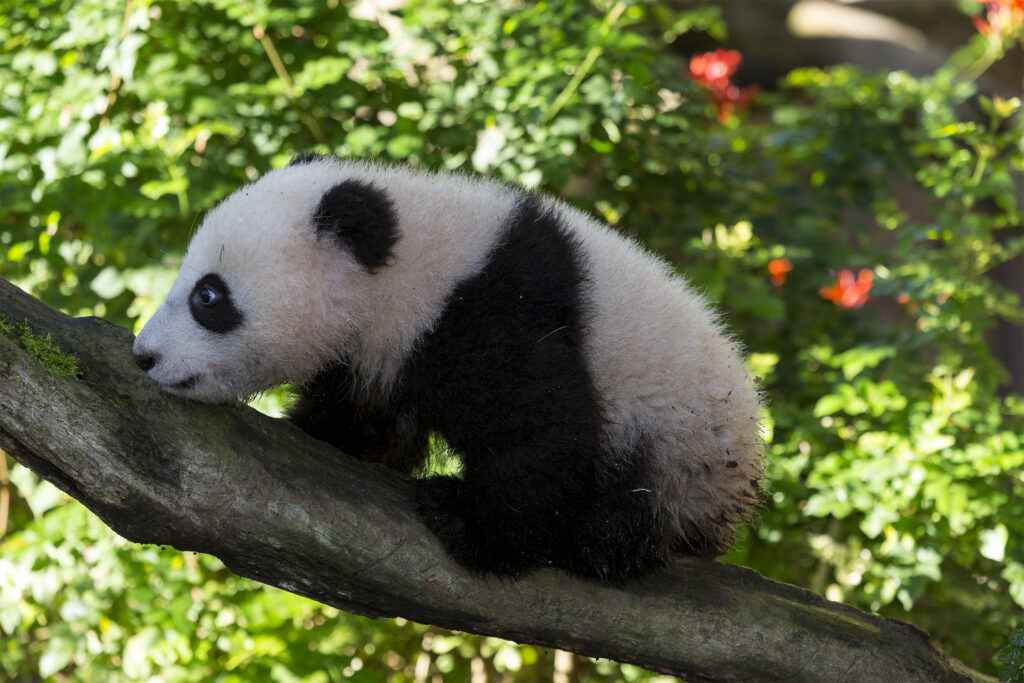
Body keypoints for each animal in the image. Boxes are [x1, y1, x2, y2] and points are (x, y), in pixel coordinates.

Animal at [133, 153, 764, 583]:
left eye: (208, 296)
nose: (144, 356)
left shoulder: (493, 312)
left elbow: (543, 429)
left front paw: (471, 527)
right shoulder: (383, 353)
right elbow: (369, 426)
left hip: (677, 443)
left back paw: (599, 541)